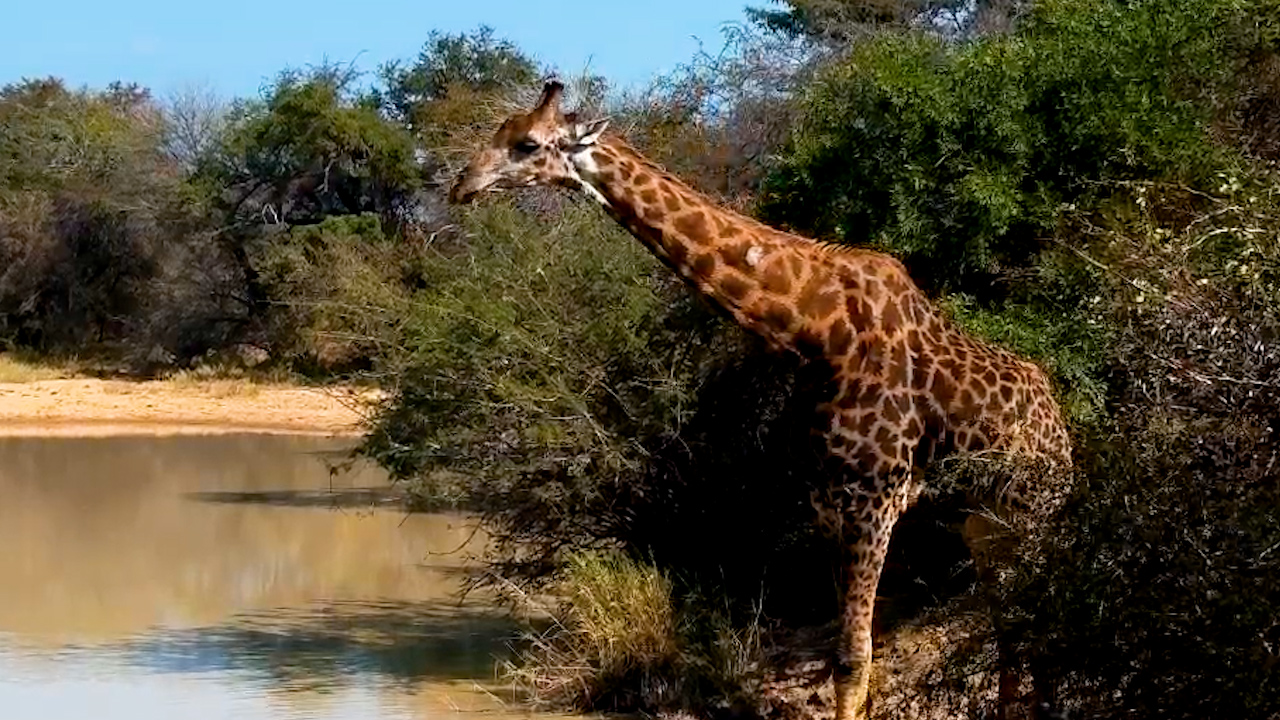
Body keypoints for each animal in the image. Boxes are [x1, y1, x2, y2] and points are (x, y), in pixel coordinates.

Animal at [449, 81, 1073, 720]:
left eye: (527, 144)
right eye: (501, 132)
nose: (462, 185)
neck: (814, 331)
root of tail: (1061, 421)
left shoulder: (876, 499)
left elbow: (854, 659)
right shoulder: (825, 500)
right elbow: (841, 657)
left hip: (1035, 510)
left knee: (1033, 614)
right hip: (981, 521)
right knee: (1007, 619)